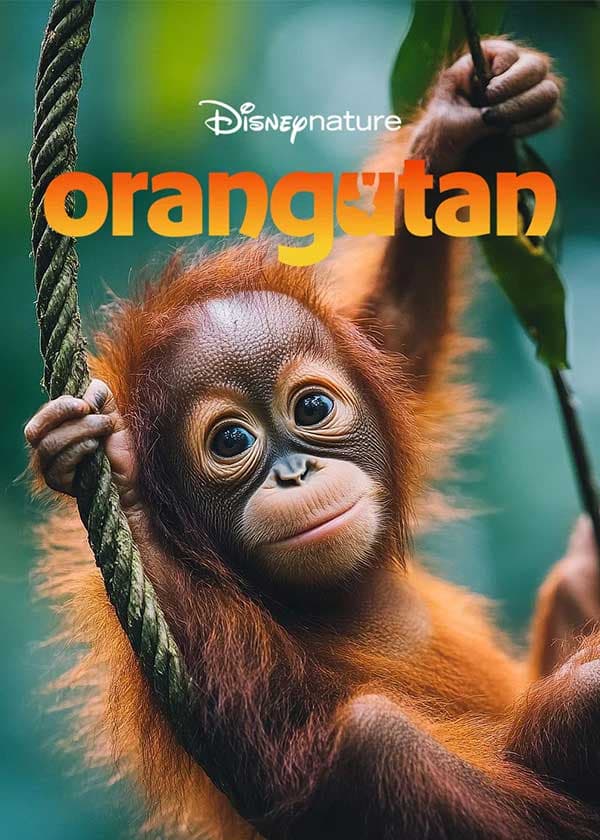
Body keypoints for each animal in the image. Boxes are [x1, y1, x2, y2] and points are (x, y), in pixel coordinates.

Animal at [26, 39, 600, 840]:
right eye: (230, 442)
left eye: (314, 406)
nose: (294, 473)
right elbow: (273, 747)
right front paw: (122, 480)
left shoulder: (378, 358)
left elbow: (393, 334)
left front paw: (456, 123)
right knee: (377, 742)